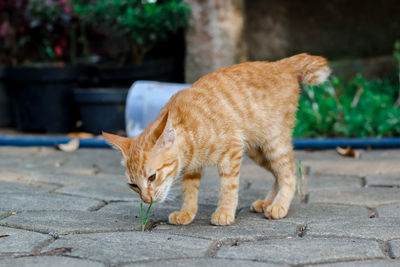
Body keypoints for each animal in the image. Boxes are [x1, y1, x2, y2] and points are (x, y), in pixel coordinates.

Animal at [104, 54, 332, 226]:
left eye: (152, 177)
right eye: (133, 185)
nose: (146, 199)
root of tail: (280, 63)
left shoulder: (232, 152)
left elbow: (228, 188)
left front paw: (225, 212)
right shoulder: (193, 168)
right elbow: (189, 191)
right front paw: (187, 213)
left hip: (273, 143)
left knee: (289, 173)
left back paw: (279, 205)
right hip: (258, 151)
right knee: (280, 173)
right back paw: (267, 202)